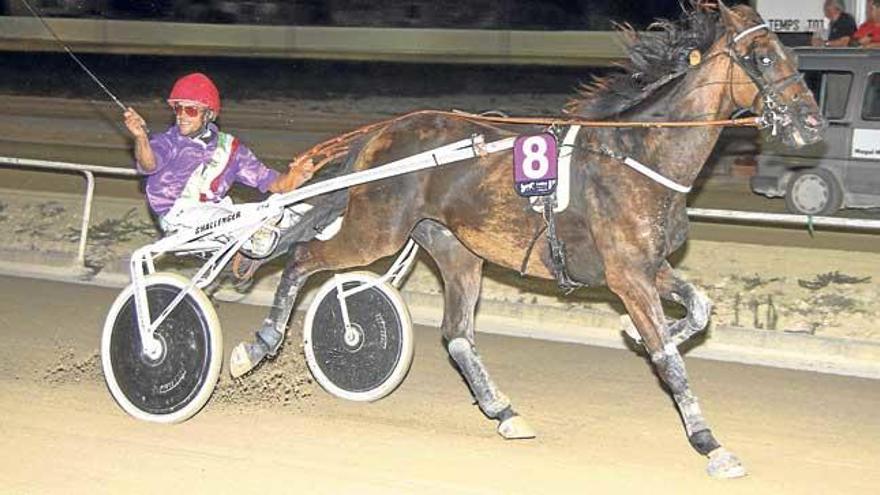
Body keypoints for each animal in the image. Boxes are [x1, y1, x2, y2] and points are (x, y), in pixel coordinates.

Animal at [229, 1, 824, 478]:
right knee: (303, 257)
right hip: (375, 229)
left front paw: (648, 333)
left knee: (458, 335)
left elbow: (699, 309)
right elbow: (670, 361)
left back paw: (505, 412)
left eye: (789, 53)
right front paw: (710, 444)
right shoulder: (628, 277)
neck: (639, 156)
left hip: (455, 249)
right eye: (764, 57)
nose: (812, 123)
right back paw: (255, 346)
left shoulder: (651, 267)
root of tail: (382, 133)